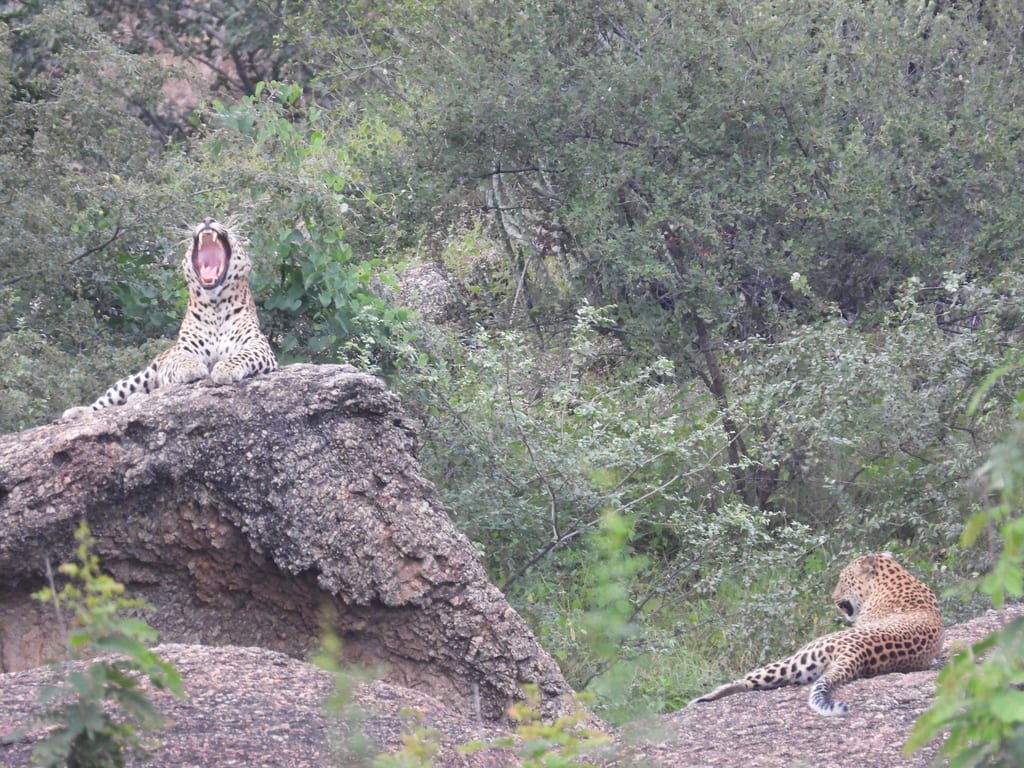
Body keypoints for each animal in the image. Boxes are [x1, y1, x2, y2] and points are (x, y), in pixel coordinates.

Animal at [66, 217, 278, 421]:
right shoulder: (180, 351)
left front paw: (224, 368)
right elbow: (181, 359)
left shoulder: (259, 345)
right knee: (111, 397)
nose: (208, 219)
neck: (216, 306)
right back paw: (77, 412)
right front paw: (194, 368)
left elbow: (243, 355)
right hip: (141, 376)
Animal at [688, 557, 942, 720]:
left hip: (798, 657)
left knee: (749, 681)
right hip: (806, 669)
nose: (833, 597)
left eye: (843, 579)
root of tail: (858, 652)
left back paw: (700, 699)